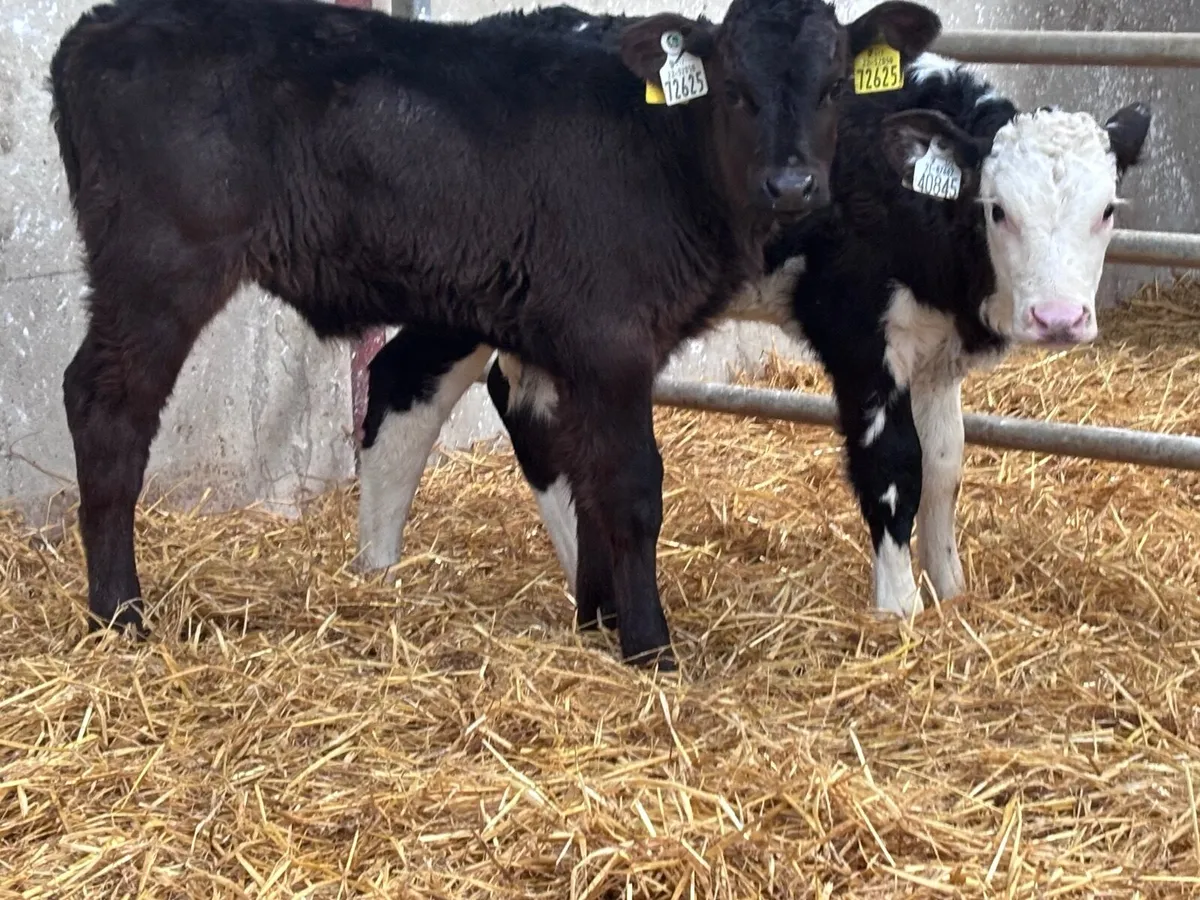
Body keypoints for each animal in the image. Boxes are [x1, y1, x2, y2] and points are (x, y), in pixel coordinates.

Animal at [49, 0, 942, 668]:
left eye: (834, 83)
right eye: (732, 87)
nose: (792, 184)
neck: (668, 153)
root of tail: (101, 23)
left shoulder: (567, 345)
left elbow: (585, 478)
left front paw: (598, 618)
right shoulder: (613, 337)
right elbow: (632, 487)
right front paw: (650, 646)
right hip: (159, 267)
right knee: (107, 408)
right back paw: (119, 613)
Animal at [355, 33, 1152, 627]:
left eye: (1109, 209)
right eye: (997, 209)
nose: (1058, 319)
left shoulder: (933, 350)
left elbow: (947, 465)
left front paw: (953, 597)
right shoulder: (855, 332)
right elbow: (894, 466)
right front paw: (898, 612)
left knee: (519, 402)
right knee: (402, 381)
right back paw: (377, 570)